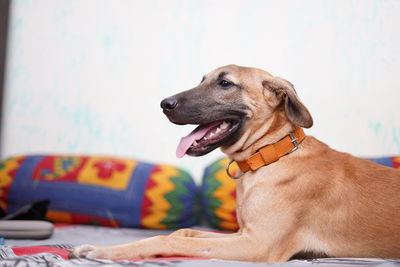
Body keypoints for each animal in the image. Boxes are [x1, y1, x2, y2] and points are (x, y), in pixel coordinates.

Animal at [72, 65, 400, 264]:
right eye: (202, 80)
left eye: (225, 83)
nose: (165, 104)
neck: (271, 155)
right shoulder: (244, 234)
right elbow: (184, 234)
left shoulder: (257, 245)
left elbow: (170, 241)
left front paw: (103, 250)